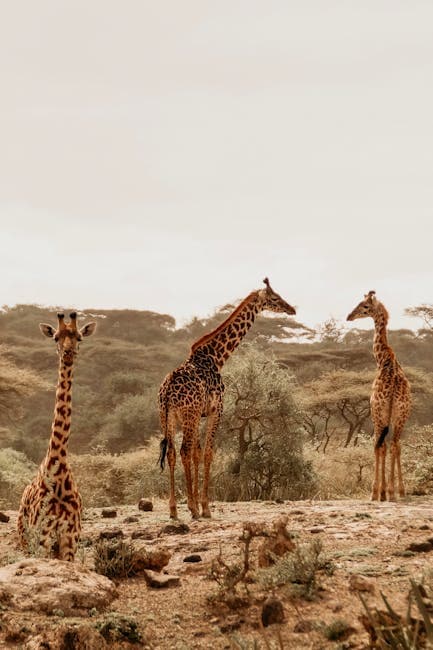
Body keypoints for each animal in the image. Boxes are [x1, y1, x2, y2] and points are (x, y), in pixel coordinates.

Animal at [17, 312, 96, 560]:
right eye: (55, 337)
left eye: (79, 337)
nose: (68, 353)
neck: (58, 466)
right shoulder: (42, 536)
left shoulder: (70, 537)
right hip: (25, 539)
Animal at [157, 276, 296, 520]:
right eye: (274, 298)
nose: (292, 309)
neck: (216, 357)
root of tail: (166, 391)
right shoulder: (216, 410)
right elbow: (208, 453)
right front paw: (204, 507)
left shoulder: (201, 414)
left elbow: (197, 453)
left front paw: (197, 504)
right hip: (187, 414)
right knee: (182, 451)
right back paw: (191, 508)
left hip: (168, 417)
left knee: (173, 453)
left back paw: (173, 509)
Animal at [346, 292, 410, 498]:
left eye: (365, 306)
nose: (349, 316)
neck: (383, 360)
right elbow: (389, 446)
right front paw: (388, 490)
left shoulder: (375, 410)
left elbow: (378, 446)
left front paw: (378, 492)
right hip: (401, 413)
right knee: (396, 444)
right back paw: (399, 491)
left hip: (379, 413)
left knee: (380, 445)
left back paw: (382, 491)